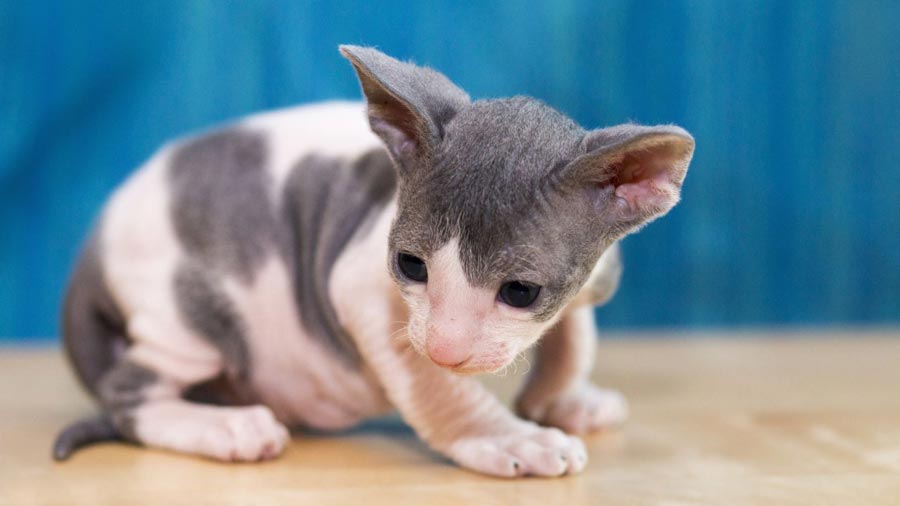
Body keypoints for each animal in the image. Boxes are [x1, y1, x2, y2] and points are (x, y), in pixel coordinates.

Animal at [52, 44, 692, 478]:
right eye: (410, 265)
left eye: (520, 292)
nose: (445, 351)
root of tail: (92, 244)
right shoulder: (363, 290)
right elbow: (440, 391)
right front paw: (507, 437)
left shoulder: (591, 280)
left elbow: (574, 339)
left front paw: (561, 402)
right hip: (187, 312)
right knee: (126, 391)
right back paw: (228, 426)